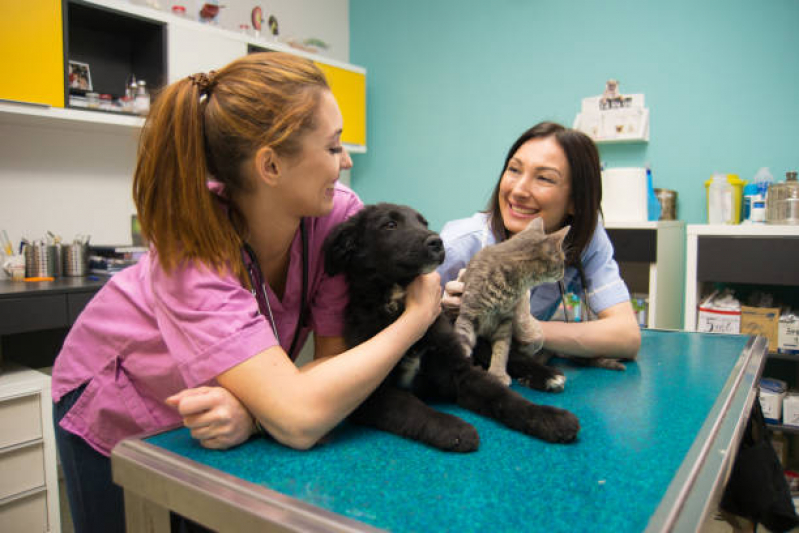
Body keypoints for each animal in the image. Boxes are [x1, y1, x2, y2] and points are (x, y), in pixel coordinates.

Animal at [454, 216, 572, 386]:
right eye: (562, 261)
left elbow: (502, 349)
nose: (563, 273)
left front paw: (497, 373)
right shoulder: (468, 313)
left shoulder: (505, 321)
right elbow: (463, 340)